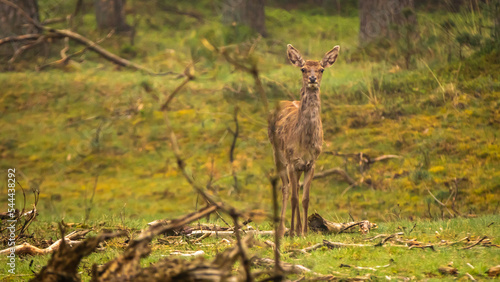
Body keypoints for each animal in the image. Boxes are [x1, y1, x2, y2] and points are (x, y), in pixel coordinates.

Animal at [270, 44, 340, 237]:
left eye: (321, 69)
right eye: (303, 68)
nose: (312, 78)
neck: (305, 142)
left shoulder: (311, 163)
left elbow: (305, 198)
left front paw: (305, 232)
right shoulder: (292, 161)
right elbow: (294, 198)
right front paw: (294, 231)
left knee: (296, 188)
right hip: (277, 155)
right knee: (286, 189)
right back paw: (283, 229)